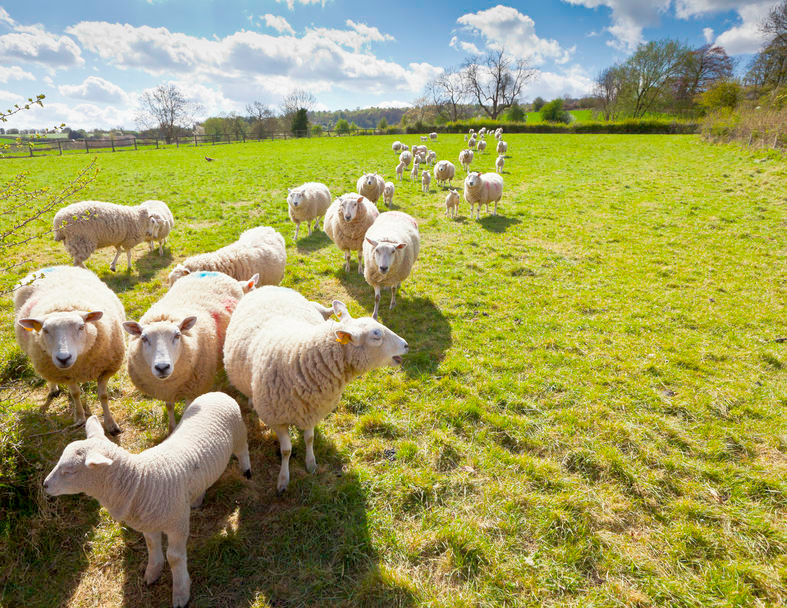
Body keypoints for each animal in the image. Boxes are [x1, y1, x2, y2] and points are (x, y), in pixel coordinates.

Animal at [14, 264, 126, 432]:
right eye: (45, 330)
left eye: (81, 327)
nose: (63, 358)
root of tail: (54, 266)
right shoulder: (67, 374)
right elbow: (75, 393)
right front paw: (79, 418)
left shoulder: (106, 369)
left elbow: (103, 396)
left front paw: (111, 424)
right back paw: (53, 389)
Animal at [43, 394, 252, 608]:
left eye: (70, 471)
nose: (45, 485)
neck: (140, 481)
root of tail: (216, 393)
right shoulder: (149, 523)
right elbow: (152, 546)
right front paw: (153, 572)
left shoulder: (177, 523)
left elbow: (174, 557)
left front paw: (181, 592)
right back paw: (197, 498)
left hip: (239, 431)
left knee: (243, 450)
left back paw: (246, 472)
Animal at [124, 270, 258, 432]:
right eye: (144, 338)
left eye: (177, 335)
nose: (162, 367)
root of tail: (210, 272)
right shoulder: (166, 390)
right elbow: (169, 406)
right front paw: (172, 428)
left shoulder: (194, 388)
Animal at [222, 286, 406, 494]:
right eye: (376, 334)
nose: (406, 345)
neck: (297, 359)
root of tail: (269, 287)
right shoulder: (277, 419)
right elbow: (286, 450)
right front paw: (283, 480)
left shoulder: (311, 410)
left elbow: (309, 439)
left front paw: (311, 464)